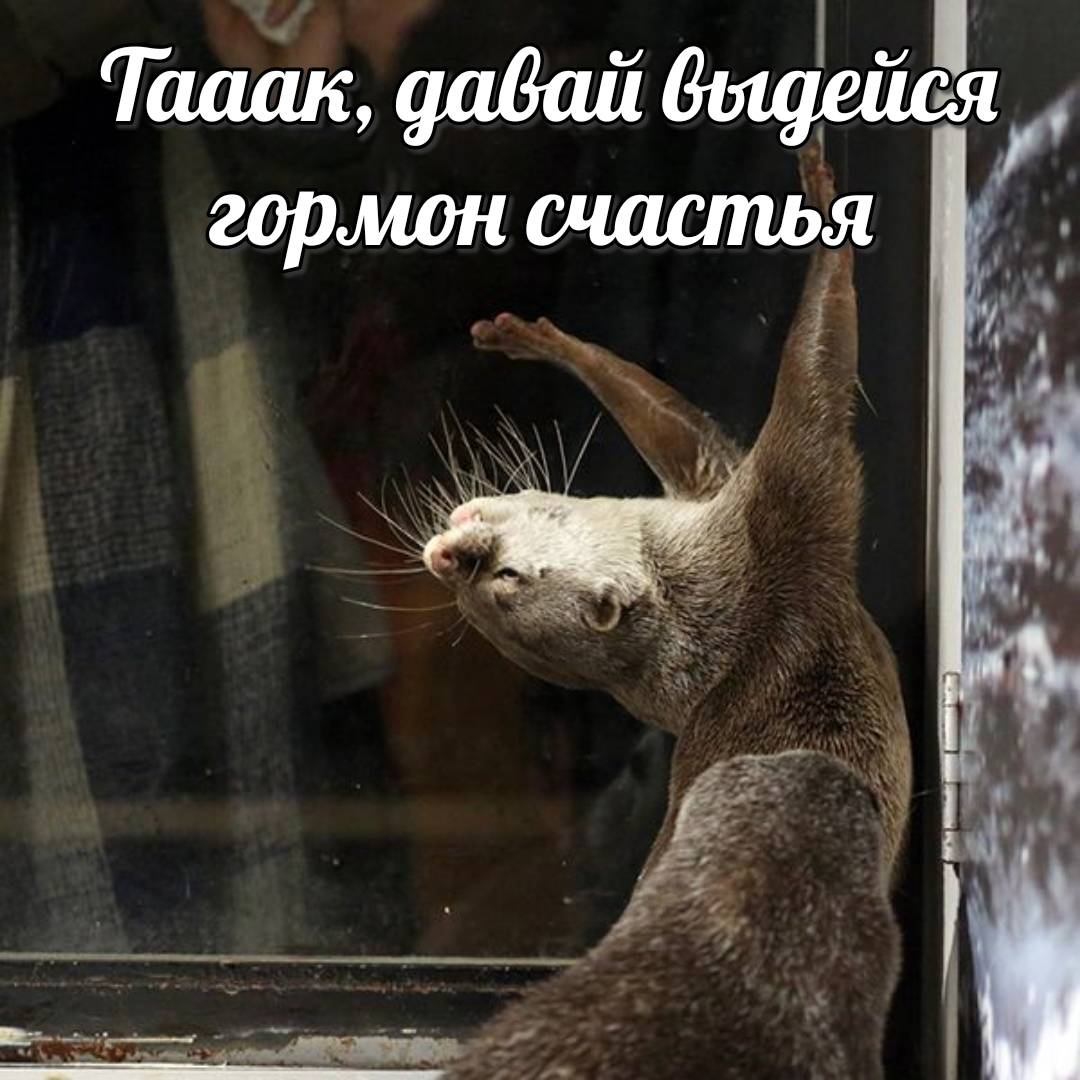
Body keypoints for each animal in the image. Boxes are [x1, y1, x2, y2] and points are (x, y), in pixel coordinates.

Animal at [421, 142, 911, 877]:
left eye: (499, 581)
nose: (452, 560)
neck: (715, 595)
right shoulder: (784, 504)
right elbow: (813, 376)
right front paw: (825, 203)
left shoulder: (712, 483)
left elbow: (667, 418)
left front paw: (541, 340)